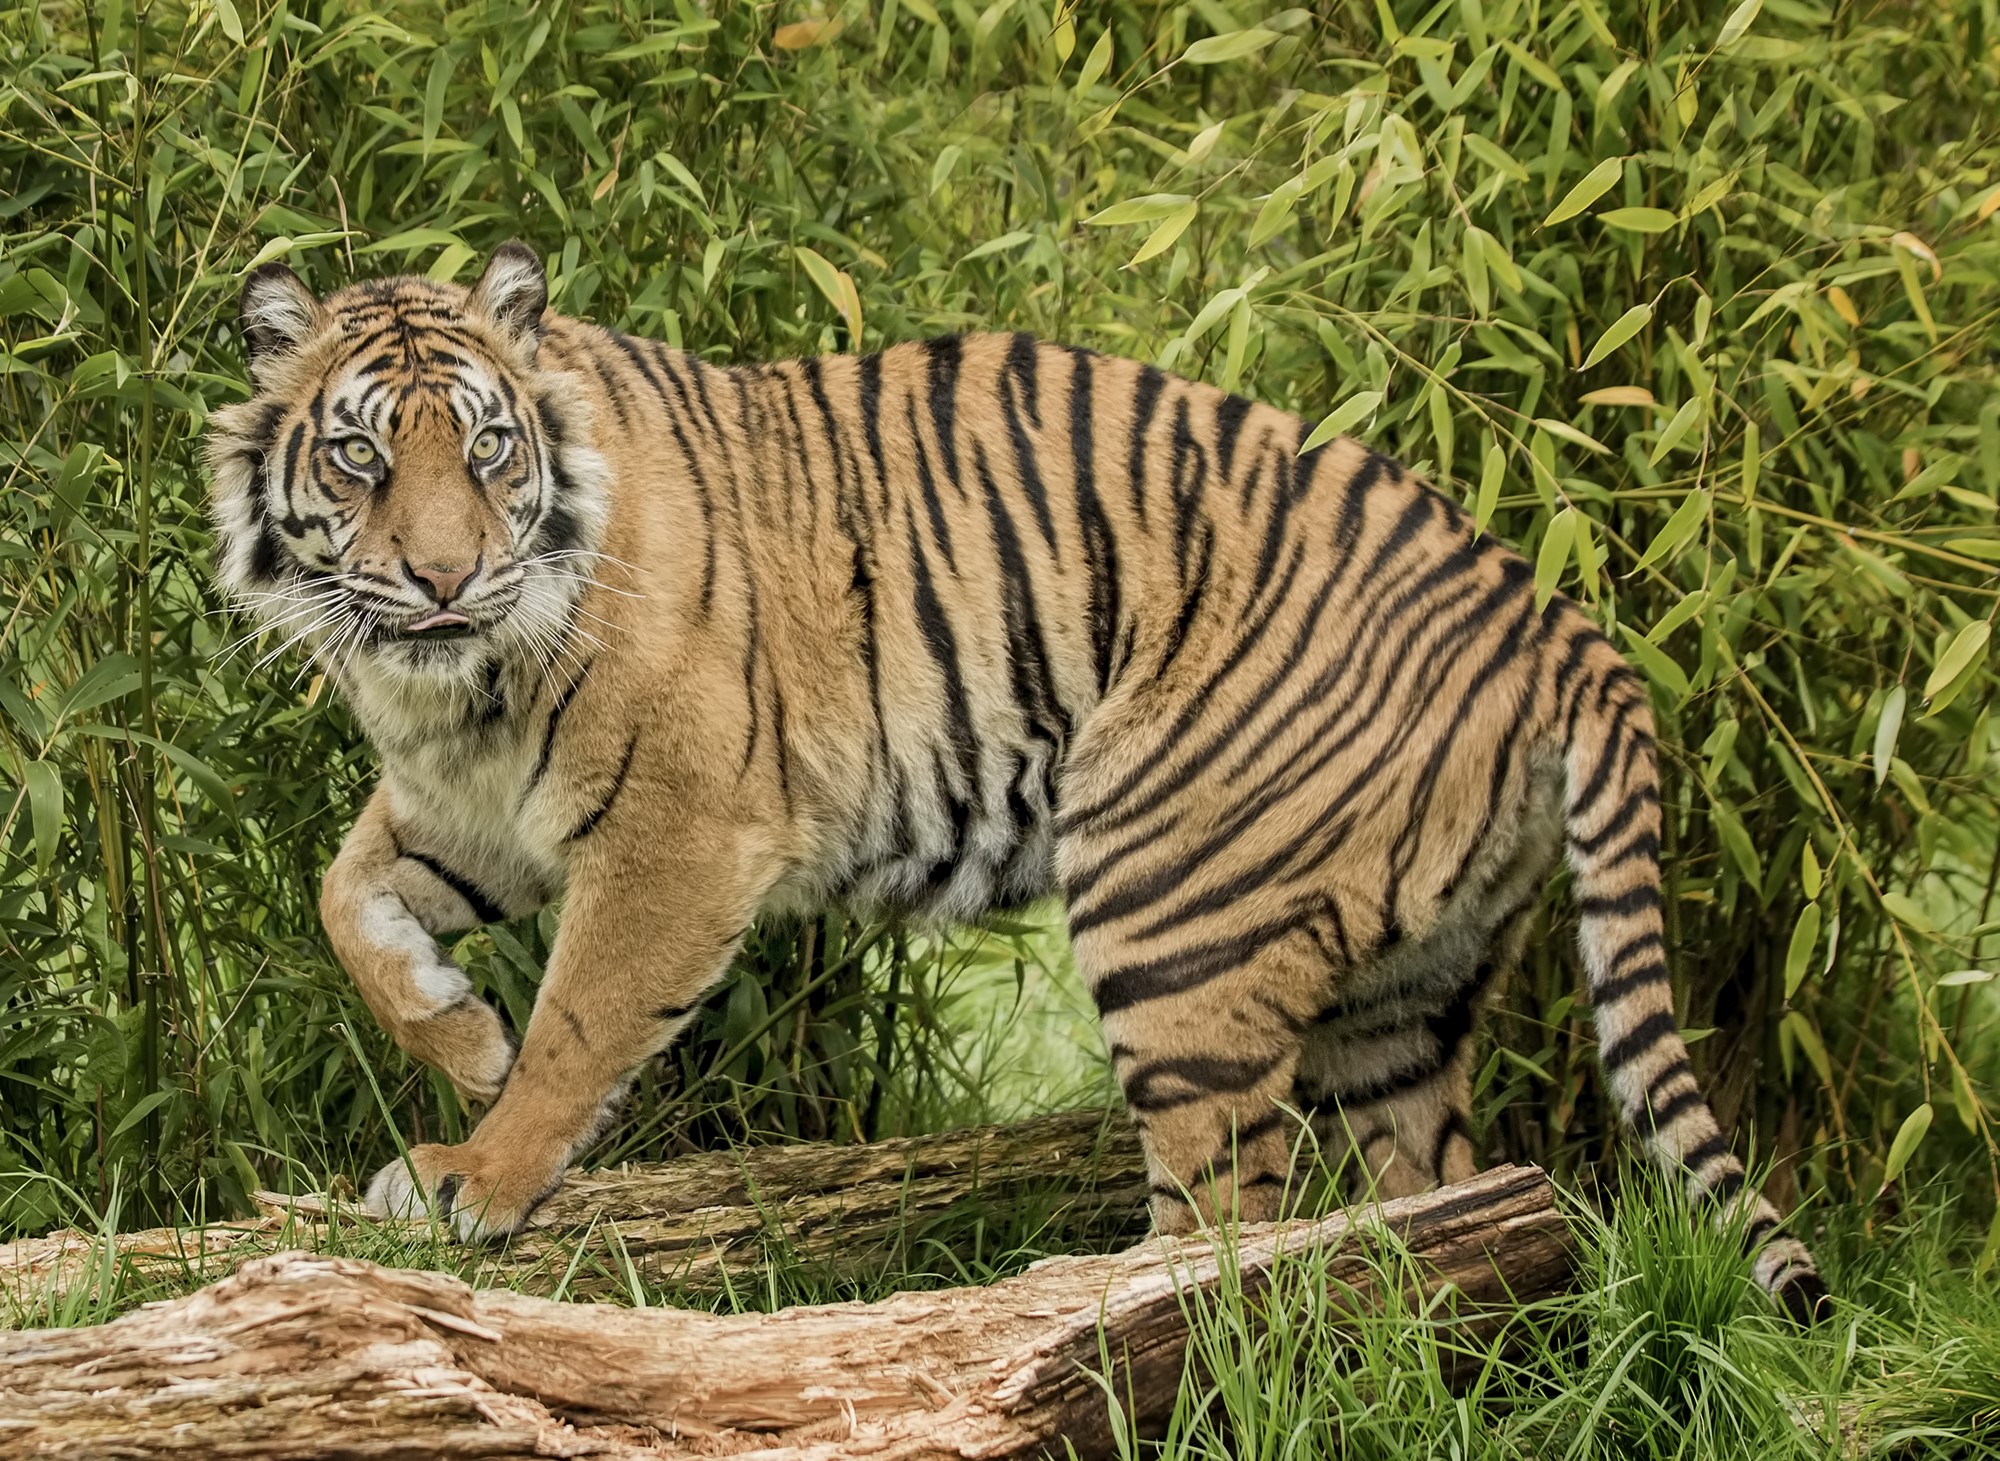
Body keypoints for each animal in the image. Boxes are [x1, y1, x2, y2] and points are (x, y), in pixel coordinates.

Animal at [205, 241, 1826, 1321]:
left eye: (486, 449)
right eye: (359, 457)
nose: (443, 578)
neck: (451, 686)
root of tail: (1556, 620)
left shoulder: (677, 830)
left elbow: (580, 1022)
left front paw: (478, 1167)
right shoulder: (464, 809)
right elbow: (344, 901)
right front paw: (460, 1037)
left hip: (1176, 914)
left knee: (1229, 1216)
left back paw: (1082, 1315)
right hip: (1404, 1001)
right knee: (1423, 1212)